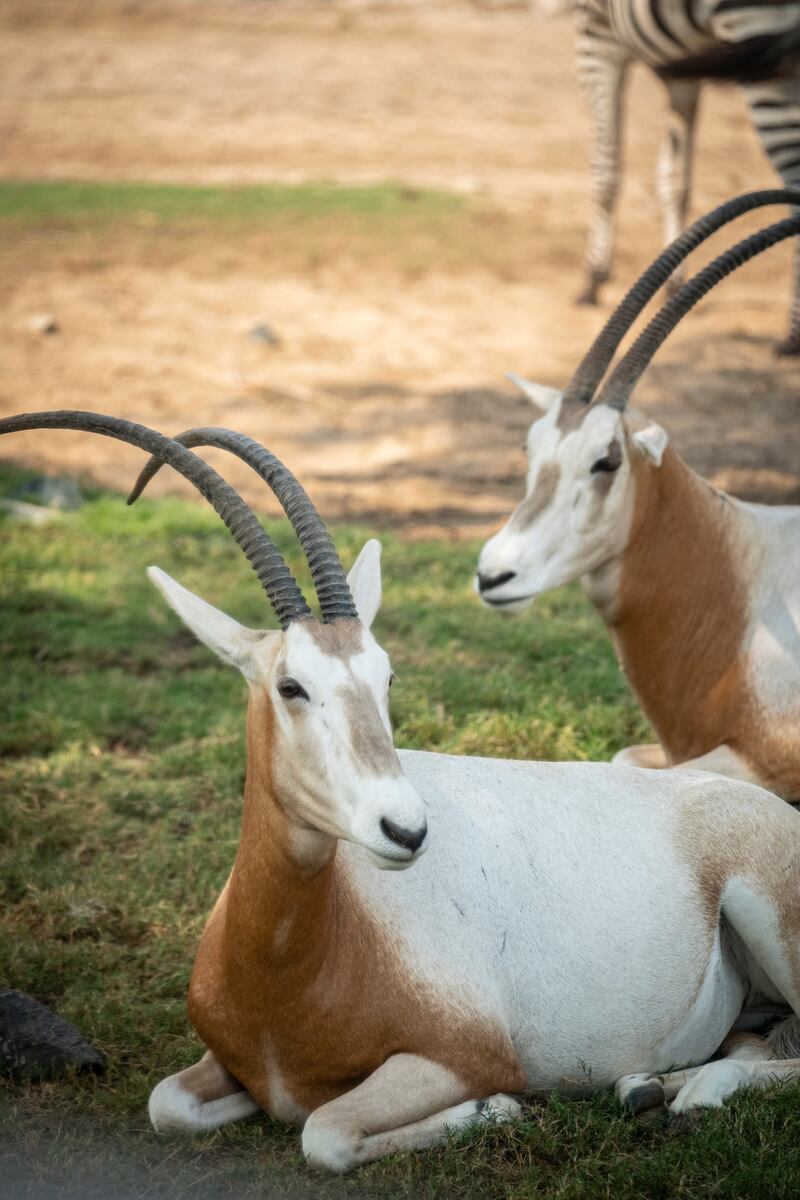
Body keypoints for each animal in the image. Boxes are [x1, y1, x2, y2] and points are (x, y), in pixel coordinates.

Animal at [573, 2, 800, 350]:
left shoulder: (598, 33)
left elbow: (606, 168)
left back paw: (792, 336)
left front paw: (594, 278)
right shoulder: (681, 65)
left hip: (761, 39)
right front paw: (674, 282)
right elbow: (676, 179)